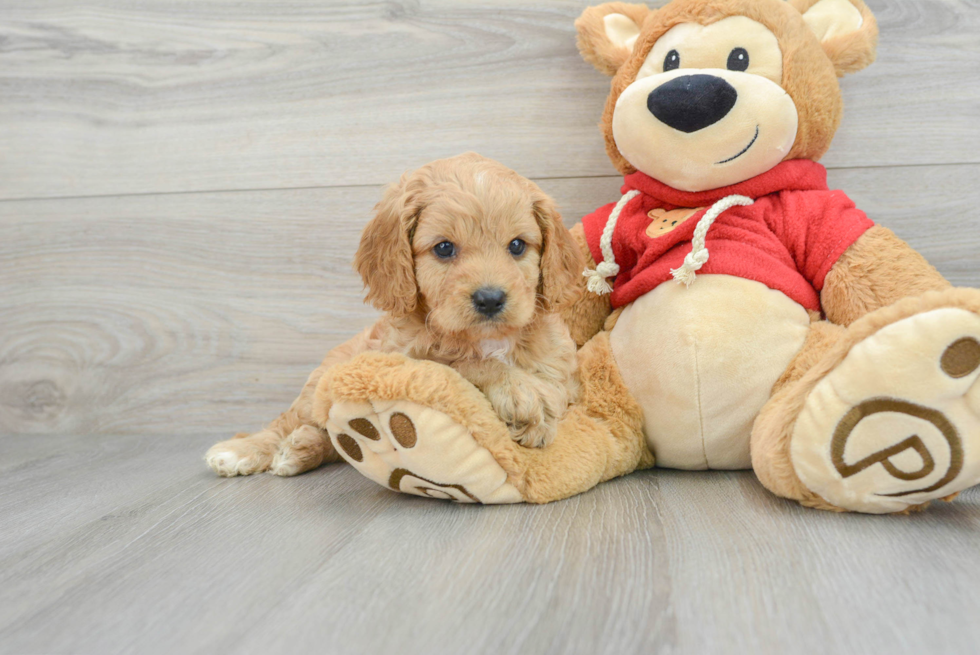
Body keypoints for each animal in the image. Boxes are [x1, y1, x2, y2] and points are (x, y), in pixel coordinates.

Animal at [206, 156, 580, 480]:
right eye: (444, 248)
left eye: (517, 246)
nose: (490, 299)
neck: (487, 339)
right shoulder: (403, 363)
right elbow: (461, 364)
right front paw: (520, 393)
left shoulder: (561, 371)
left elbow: (553, 391)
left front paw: (537, 415)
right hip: (321, 384)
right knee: (287, 421)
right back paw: (244, 451)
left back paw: (300, 448)